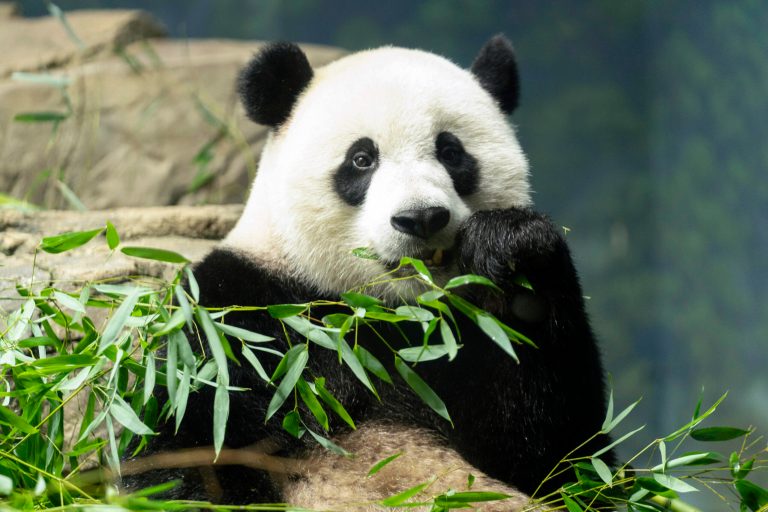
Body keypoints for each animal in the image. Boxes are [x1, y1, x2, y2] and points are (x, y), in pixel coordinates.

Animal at [126, 36, 612, 510]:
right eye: (362, 159)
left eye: (451, 152)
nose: (421, 218)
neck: (377, 311)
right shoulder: (234, 318)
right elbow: (184, 441)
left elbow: (558, 454)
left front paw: (509, 246)